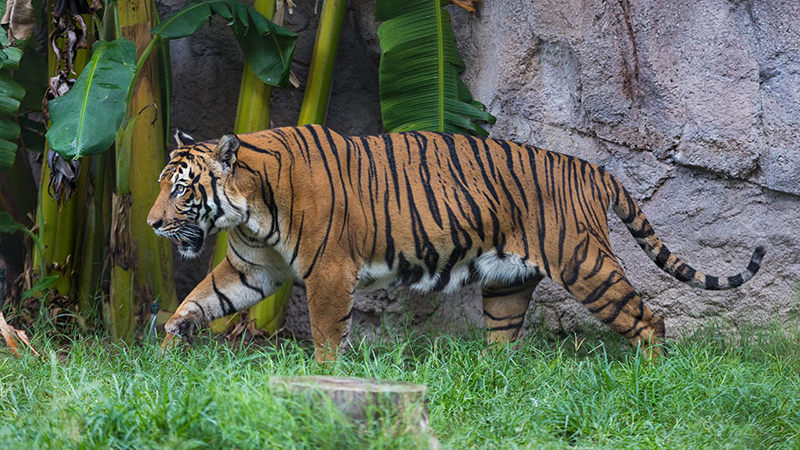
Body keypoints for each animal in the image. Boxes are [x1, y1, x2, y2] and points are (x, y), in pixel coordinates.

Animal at [147, 124, 764, 362]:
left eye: (180, 191)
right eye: (160, 186)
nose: (151, 224)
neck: (250, 209)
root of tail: (593, 169)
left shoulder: (329, 274)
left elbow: (325, 334)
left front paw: (318, 376)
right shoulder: (253, 269)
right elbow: (201, 300)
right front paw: (170, 345)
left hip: (585, 264)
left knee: (647, 318)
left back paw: (648, 373)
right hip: (509, 282)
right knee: (505, 341)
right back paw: (494, 380)